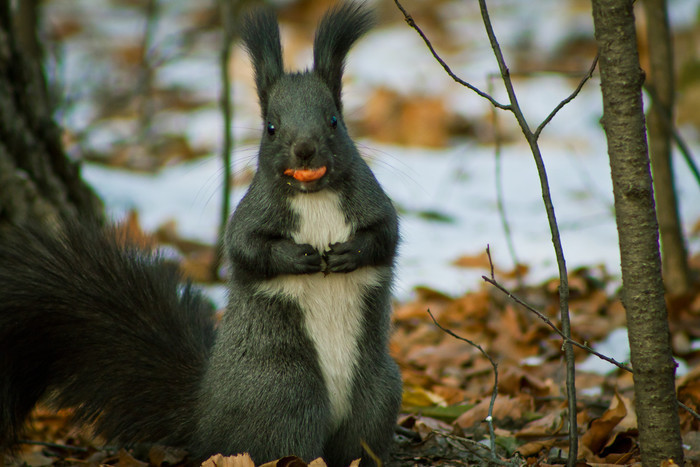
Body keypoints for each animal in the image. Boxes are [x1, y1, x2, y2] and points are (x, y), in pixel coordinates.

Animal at [0, 4, 402, 467]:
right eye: (270, 127)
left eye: (334, 121)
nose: (305, 150)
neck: (314, 195)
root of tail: (204, 414)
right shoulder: (249, 213)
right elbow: (245, 248)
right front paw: (296, 257)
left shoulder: (372, 201)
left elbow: (386, 234)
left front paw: (349, 253)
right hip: (283, 396)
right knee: (284, 442)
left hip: (375, 396)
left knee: (358, 442)